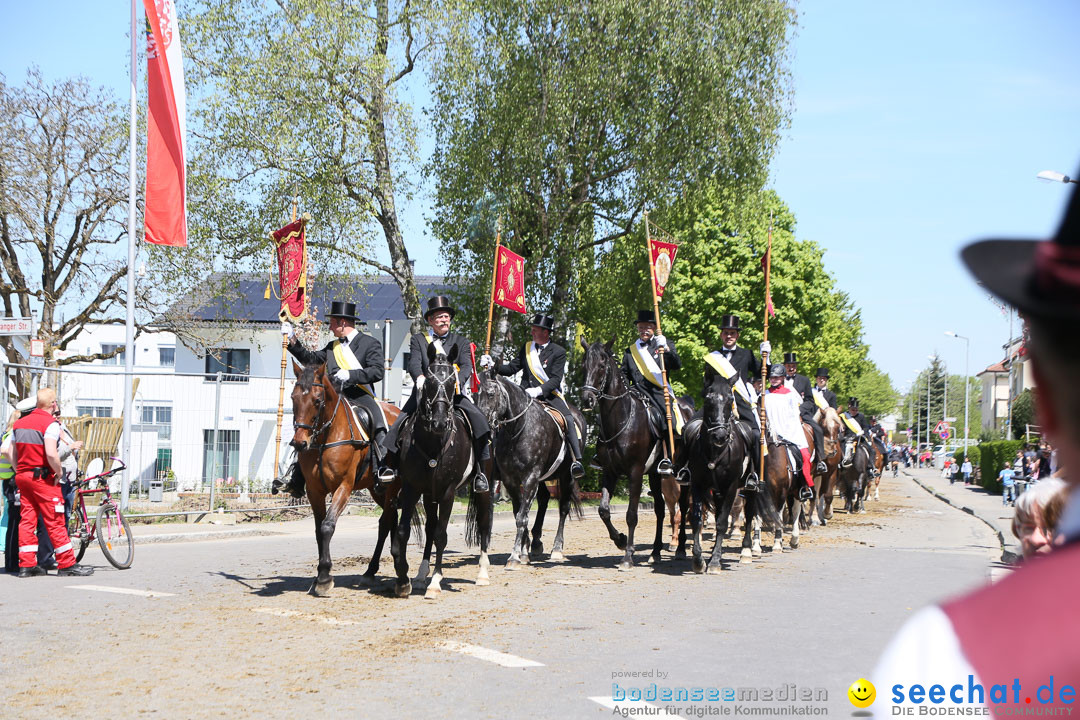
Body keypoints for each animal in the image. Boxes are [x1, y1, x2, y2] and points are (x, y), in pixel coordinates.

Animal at [291, 360, 401, 595]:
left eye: (317, 400)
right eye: (293, 398)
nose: (299, 443)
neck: (325, 438)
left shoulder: (343, 487)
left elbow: (327, 526)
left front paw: (324, 577)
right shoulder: (314, 491)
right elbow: (318, 530)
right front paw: (319, 576)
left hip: (393, 485)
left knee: (386, 522)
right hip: (377, 489)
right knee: (390, 520)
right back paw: (375, 570)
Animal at [390, 343, 492, 595]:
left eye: (451, 382)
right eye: (428, 382)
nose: (439, 422)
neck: (433, 442)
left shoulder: (448, 492)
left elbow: (441, 535)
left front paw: (436, 582)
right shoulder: (412, 488)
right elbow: (405, 531)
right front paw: (403, 579)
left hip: (484, 488)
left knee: (484, 523)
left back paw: (483, 573)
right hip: (429, 495)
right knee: (429, 527)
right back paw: (420, 574)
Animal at [477, 371, 587, 569]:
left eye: (490, 394)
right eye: (476, 395)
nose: (484, 425)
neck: (517, 430)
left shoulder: (530, 477)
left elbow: (522, 516)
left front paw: (514, 556)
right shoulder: (511, 480)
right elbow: (519, 513)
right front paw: (523, 551)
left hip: (566, 476)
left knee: (563, 508)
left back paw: (557, 549)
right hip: (542, 479)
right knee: (544, 500)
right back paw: (535, 543)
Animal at [578, 338, 686, 569]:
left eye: (602, 366)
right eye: (583, 365)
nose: (587, 400)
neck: (620, 420)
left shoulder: (635, 472)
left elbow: (631, 515)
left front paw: (628, 556)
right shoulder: (609, 471)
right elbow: (603, 510)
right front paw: (620, 540)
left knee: (683, 505)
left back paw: (680, 548)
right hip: (655, 474)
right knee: (660, 509)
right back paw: (655, 551)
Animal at [682, 375, 751, 569]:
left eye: (730, 400)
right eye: (708, 399)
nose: (720, 436)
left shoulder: (731, 487)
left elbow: (722, 523)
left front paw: (714, 562)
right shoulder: (697, 484)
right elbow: (697, 519)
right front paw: (698, 560)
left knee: (748, 515)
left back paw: (746, 552)